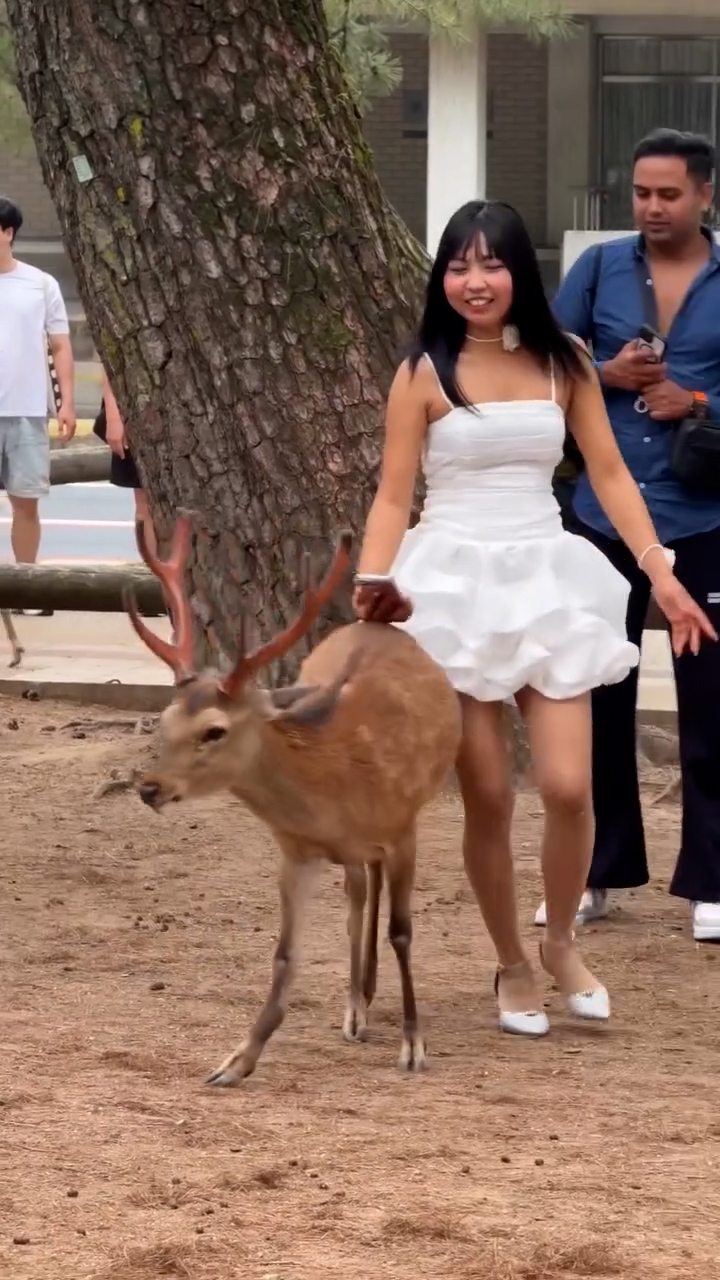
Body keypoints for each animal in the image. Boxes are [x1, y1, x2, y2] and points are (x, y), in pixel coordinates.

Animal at [124, 513, 462, 1086]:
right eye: (166, 720)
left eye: (214, 730)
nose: (150, 787)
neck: (335, 788)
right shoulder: (295, 851)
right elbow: (285, 953)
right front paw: (237, 1060)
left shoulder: (404, 829)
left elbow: (403, 932)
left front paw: (414, 1046)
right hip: (354, 855)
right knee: (357, 891)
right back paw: (357, 1004)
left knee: (371, 891)